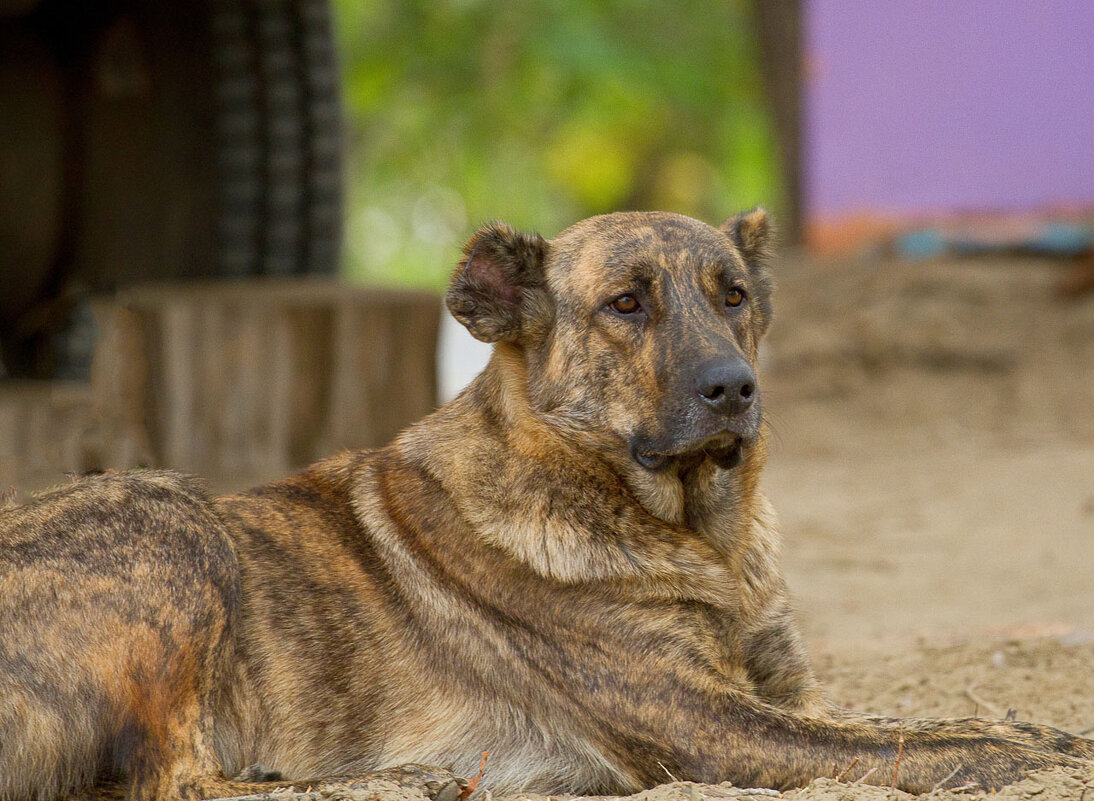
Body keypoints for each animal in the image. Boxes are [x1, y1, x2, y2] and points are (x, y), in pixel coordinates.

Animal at [2, 210, 1094, 796]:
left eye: (733, 294)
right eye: (625, 304)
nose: (735, 388)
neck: (693, 531)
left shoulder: (785, 694)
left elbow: (899, 718)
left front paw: (1033, 729)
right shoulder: (711, 723)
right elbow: (912, 743)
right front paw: (1014, 747)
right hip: (165, 510)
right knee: (181, 780)